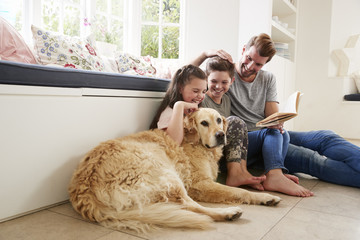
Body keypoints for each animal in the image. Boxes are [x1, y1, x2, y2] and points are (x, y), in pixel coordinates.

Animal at [68, 107, 282, 232]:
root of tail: (85, 192)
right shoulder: (199, 184)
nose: (221, 135)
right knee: (190, 206)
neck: (196, 142)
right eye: (204, 123)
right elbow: (239, 191)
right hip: (164, 172)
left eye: (219, 120)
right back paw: (228, 213)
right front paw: (265, 197)